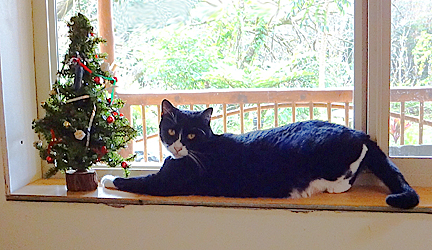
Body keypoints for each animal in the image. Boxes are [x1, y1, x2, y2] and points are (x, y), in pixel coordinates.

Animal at [101, 98, 418, 208]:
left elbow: (137, 181)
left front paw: (107, 179)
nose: (177, 146)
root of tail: (359, 133)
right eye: (170, 131)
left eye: (191, 135)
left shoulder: (168, 182)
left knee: (344, 179)